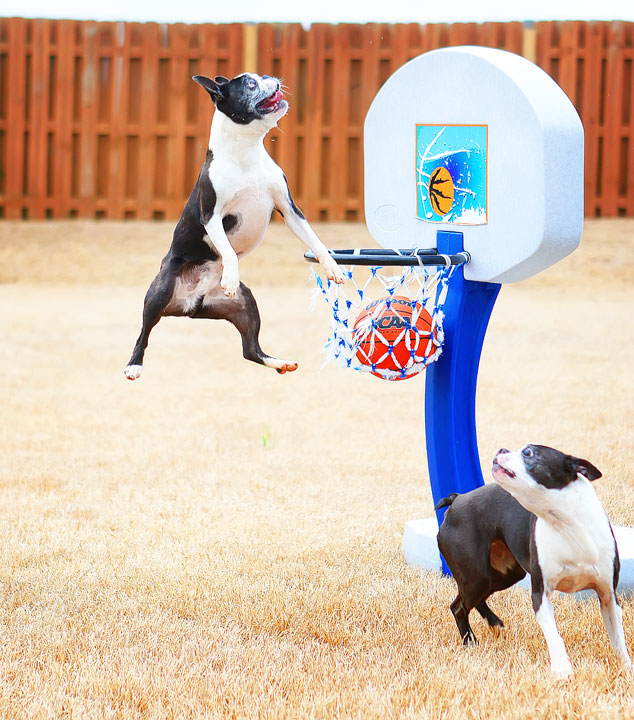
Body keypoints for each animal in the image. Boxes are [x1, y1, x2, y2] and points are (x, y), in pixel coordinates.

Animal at [123, 71, 340, 382]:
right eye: (250, 84)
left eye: (262, 76)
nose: (272, 78)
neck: (247, 151)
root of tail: (188, 304)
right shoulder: (212, 216)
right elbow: (226, 249)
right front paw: (230, 275)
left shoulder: (290, 210)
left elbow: (314, 239)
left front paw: (332, 266)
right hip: (160, 290)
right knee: (144, 332)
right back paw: (134, 365)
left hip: (245, 304)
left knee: (250, 350)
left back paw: (279, 362)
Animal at [436, 448, 628, 676]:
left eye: (529, 453)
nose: (502, 449)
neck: (567, 525)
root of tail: (457, 500)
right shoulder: (540, 594)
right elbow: (554, 636)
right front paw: (562, 669)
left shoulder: (608, 595)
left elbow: (618, 639)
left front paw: (626, 668)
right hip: (476, 576)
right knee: (458, 607)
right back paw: (470, 642)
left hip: (502, 575)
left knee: (474, 600)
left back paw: (494, 623)